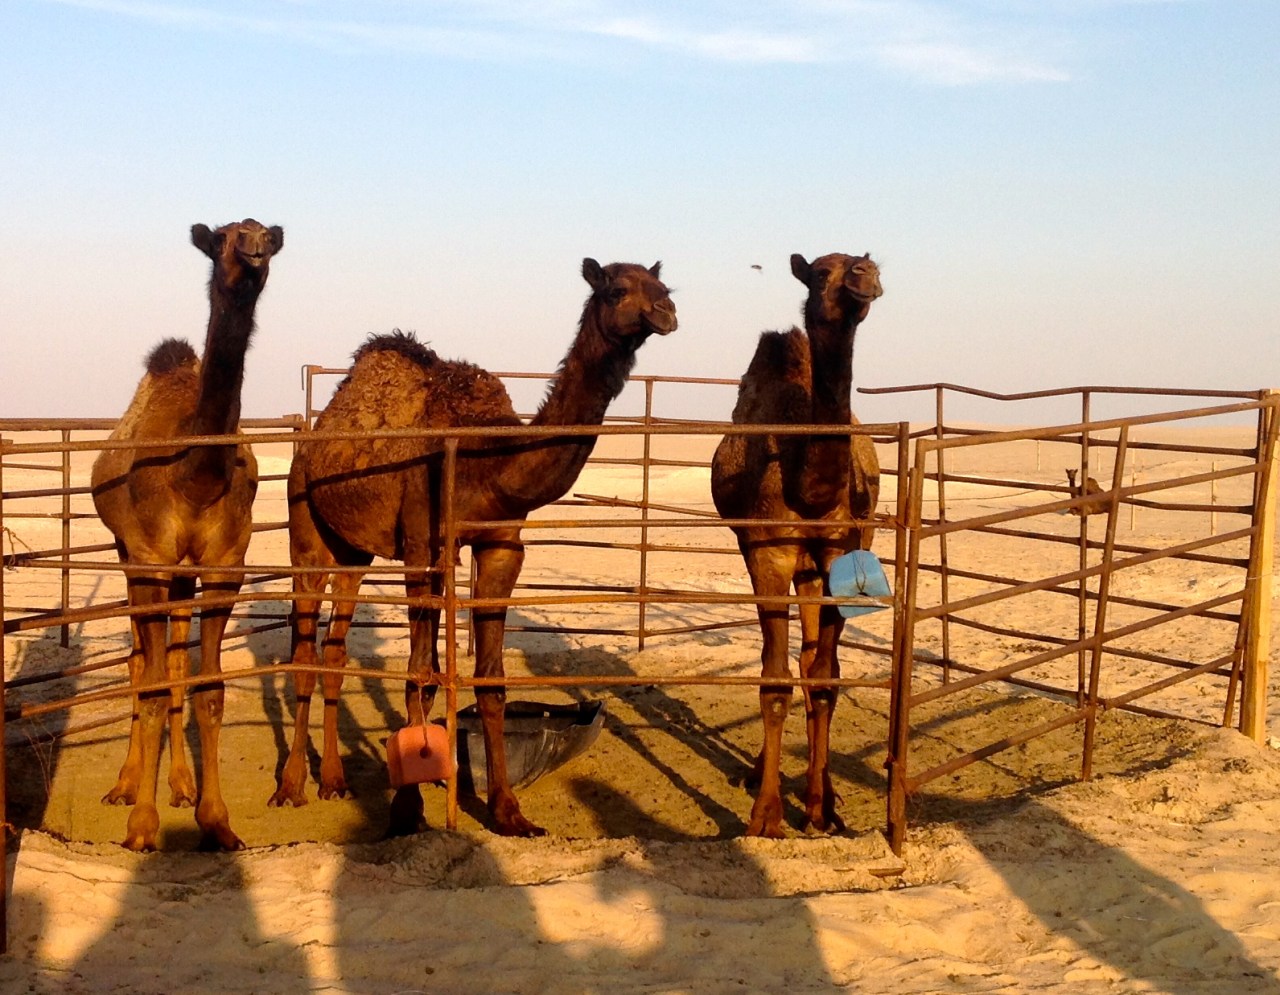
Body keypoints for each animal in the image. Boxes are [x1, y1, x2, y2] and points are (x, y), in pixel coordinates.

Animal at [91, 218, 284, 851]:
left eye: (265, 235)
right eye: (222, 236)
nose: (253, 251)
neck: (195, 474)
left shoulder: (225, 566)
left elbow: (210, 688)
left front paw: (216, 820)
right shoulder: (149, 557)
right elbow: (150, 683)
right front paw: (141, 827)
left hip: (181, 575)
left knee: (171, 664)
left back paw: (177, 783)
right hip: (128, 555)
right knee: (139, 663)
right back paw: (127, 784)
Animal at [270, 258, 676, 837]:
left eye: (663, 285)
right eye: (618, 288)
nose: (666, 312)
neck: (486, 458)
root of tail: (312, 436)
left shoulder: (501, 545)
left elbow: (491, 680)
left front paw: (509, 812)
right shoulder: (423, 545)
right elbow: (420, 673)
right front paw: (407, 810)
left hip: (352, 552)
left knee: (334, 648)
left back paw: (334, 782)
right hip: (305, 527)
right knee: (304, 649)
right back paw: (289, 788)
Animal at [710, 251, 882, 838]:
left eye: (862, 263)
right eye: (822, 272)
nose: (865, 274)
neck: (808, 488)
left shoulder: (836, 553)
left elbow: (825, 678)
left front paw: (820, 809)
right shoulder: (769, 551)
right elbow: (774, 680)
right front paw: (766, 817)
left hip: (818, 564)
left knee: (812, 662)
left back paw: (824, 792)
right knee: (783, 662)